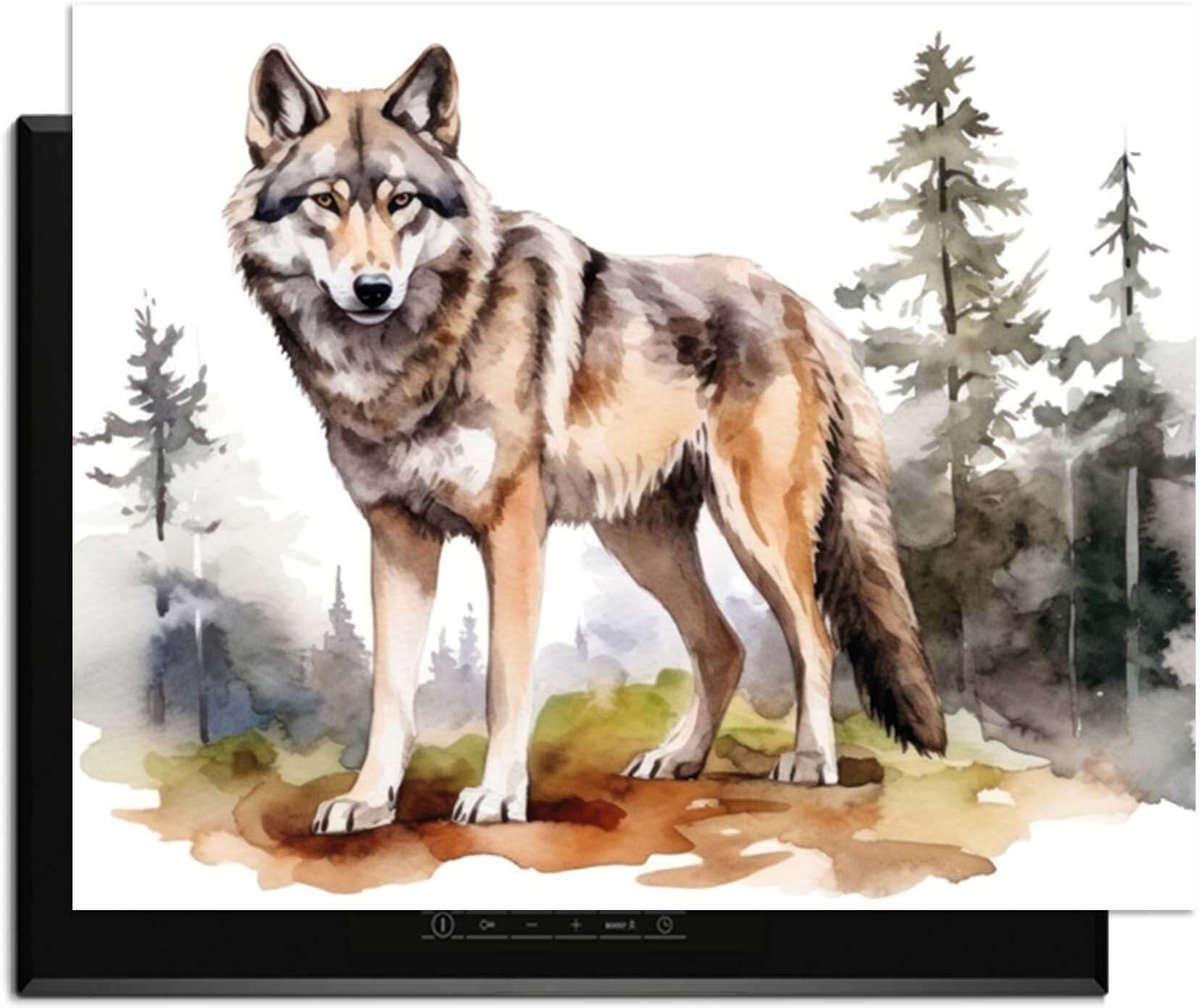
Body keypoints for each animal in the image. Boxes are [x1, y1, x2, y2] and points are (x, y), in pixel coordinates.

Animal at [227, 44, 946, 835]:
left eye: (402, 201)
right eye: (324, 202)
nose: (374, 288)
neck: (417, 355)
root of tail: (799, 304)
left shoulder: (512, 531)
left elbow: (504, 682)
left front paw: (499, 796)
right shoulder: (396, 536)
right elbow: (390, 691)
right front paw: (370, 800)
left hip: (755, 528)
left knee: (812, 637)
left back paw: (811, 761)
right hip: (641, 540)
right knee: (721, 645)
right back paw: (679, 757)